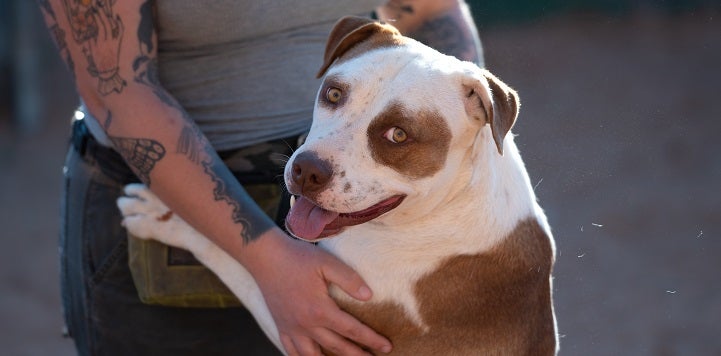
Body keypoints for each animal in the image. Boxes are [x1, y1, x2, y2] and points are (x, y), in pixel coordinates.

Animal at [116, 17, 556, 356]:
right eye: (333, 93)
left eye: (398, 135)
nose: (307, 170)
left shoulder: (316, 326)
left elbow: (236, 260)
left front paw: (162, 216)